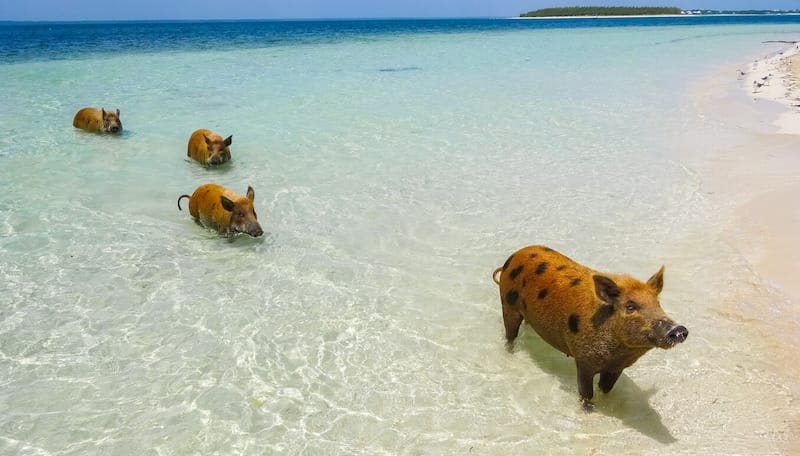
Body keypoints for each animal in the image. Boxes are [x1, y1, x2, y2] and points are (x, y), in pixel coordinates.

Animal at [494, 246, 688, 410]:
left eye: (657, 304)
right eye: (630, 306)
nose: (678, 329)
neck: (619, 353)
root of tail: (514, 256)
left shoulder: (616, 368)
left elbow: (606, 389)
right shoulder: (584, 360)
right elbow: (586, 393)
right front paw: (589, 410)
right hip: (507, 303)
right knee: (510, 334)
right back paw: (510, 352)